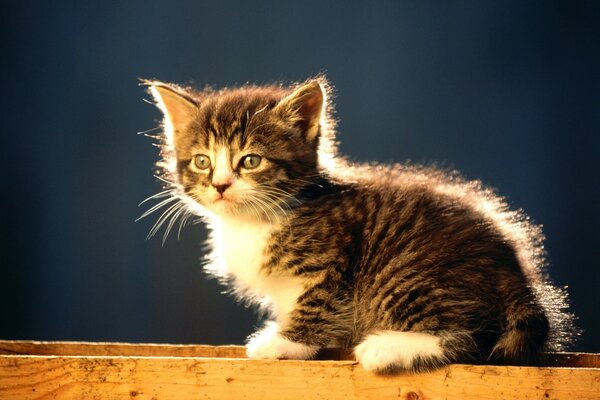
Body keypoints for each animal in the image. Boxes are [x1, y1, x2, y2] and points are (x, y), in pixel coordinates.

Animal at [141, 77, 572, 372]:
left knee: (471, 339)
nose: (220, 185)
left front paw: (285, 343)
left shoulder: (332, 258)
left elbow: (318, 302)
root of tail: (516, 275)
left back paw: (387, 348)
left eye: (250, 160)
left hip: (406, 274)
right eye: (202, 161)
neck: (256, 219)